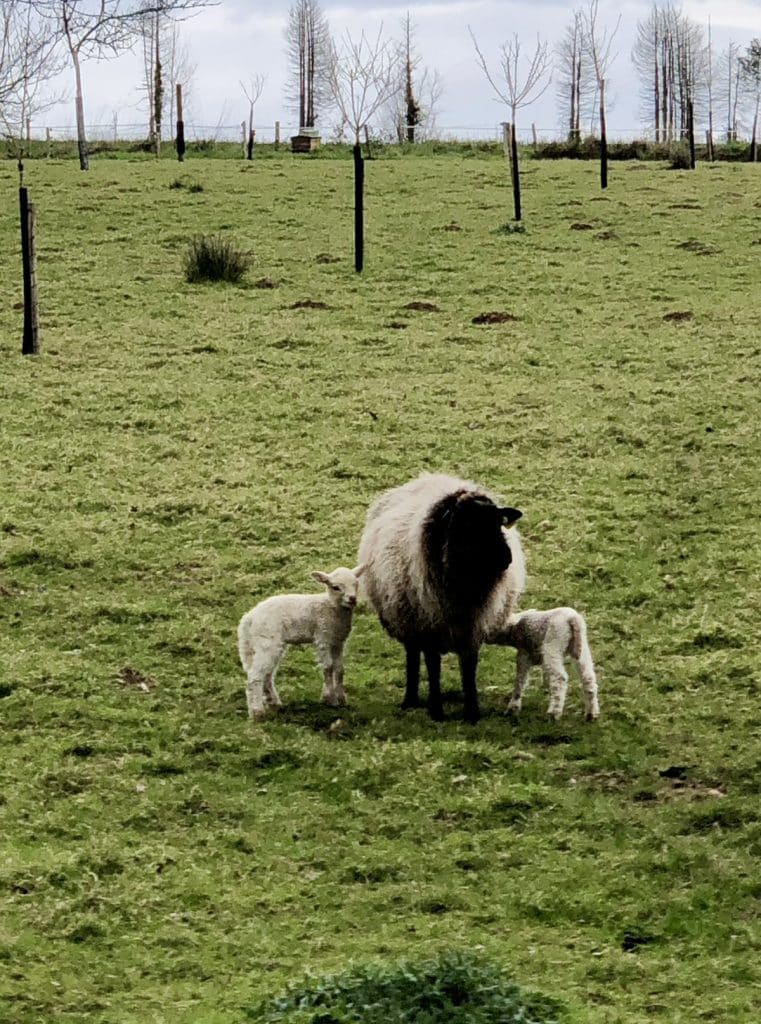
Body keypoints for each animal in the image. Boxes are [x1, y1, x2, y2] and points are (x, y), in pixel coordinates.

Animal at [237, 565, 365, 720]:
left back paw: (274, 703)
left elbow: (340, 669)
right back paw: (257, 712)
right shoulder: (323, 637)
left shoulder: (338, 642)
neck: (331, 607)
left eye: (356, 584)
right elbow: (328, 667)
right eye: (336, 587)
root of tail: (248, 618)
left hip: (258, 644)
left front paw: (341, 699)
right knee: (255, 675)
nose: (352, 599)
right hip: (267, 640)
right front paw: (330, 699)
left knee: (267, 674)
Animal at [357, 472, 524, 723]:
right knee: (413, 657)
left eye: (498, 522)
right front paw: (436, 710)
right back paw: (410, 700)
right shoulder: (429, 626)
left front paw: (471, 712)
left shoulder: (473, 627)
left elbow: (469, 668)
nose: (505, 557)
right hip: (408, 618)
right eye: (468, 524)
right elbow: (433, 666)